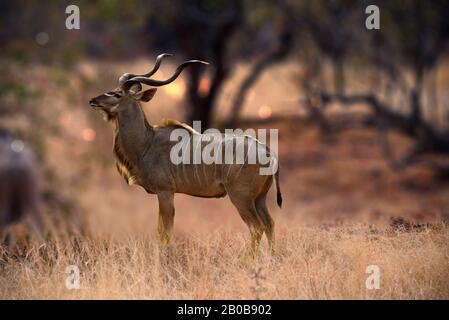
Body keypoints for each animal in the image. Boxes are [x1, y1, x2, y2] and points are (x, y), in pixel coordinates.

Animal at [88, 53, 280, 258]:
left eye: (118, 94)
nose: (93, 100)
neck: (148, 142)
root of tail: (269, 153)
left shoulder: (165, 192)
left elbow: (165, 232)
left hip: (241, 198)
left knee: (257, 227)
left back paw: (248, 261)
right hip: (259, 199)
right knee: (269, 224)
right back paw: (271, 258)